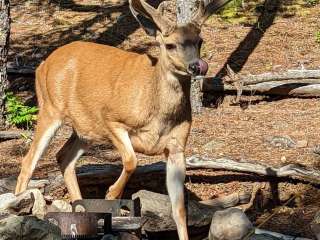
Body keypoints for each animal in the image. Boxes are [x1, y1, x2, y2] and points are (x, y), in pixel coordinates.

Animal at [15, 0, 230, 239]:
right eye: (170, 45)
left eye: (200, 41)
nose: (198, 66)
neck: (157, 113)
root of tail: (42, 64)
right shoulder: (111, 119)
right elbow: (131, 160)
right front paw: (111, 195)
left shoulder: (177, 147)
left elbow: (180, 209)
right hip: (50, 108)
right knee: (29, 161)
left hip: (85, 129)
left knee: (64, 157)